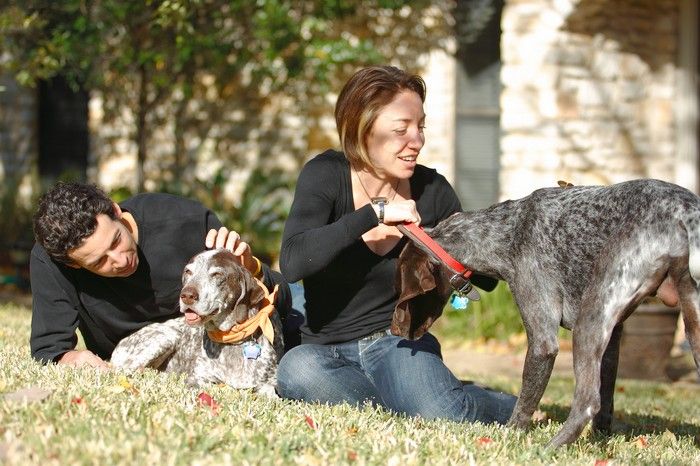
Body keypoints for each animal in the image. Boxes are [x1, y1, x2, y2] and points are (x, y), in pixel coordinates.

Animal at [110, 248, 284, 396]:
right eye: (188, 271)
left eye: (217, 274)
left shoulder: (270, 384)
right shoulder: (197, 378)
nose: (187, 295)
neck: (232, 341)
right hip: (165, 337)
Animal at [394, 179, 700, 448]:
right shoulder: (614, 335)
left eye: (402, 287)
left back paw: (548, 448)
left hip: (590, 320)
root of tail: (685, 210)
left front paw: (509, 437)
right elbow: (607, 403)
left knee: (587, 402)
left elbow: (525, 403)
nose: (394, 329)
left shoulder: (543, 341)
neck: (505, 232)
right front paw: (600, 441)